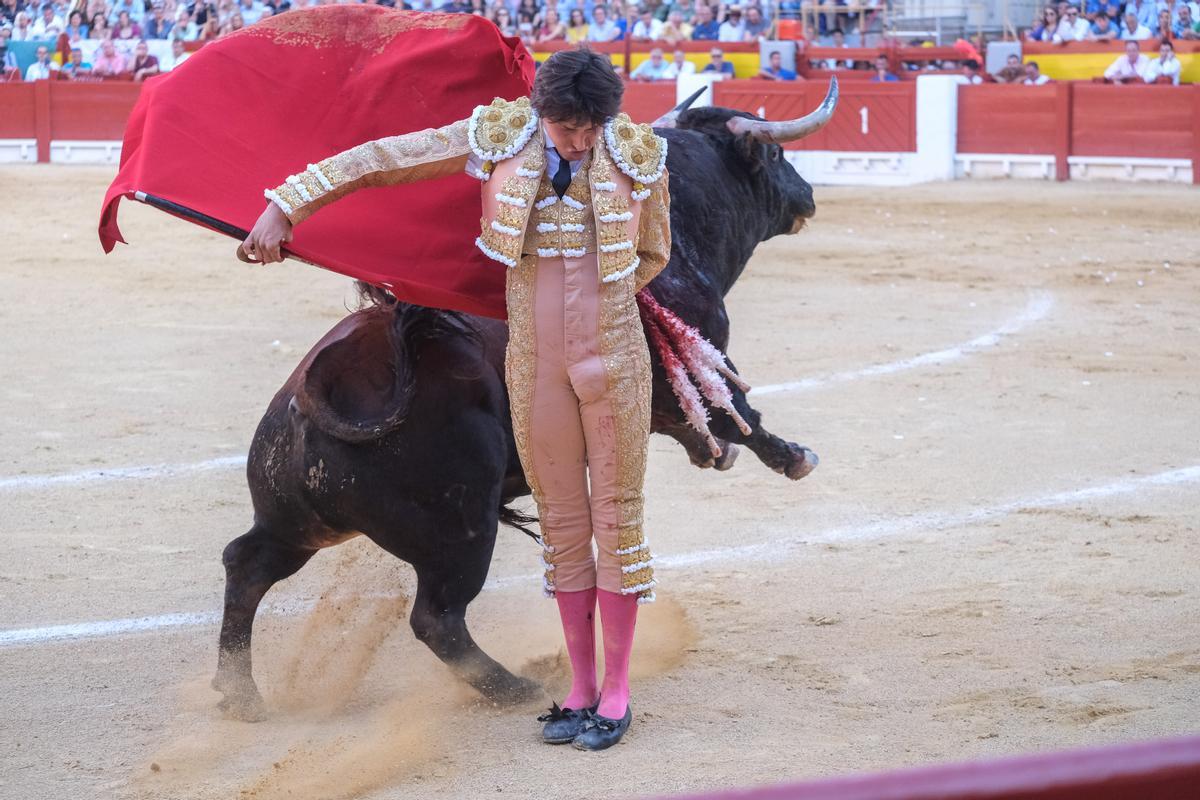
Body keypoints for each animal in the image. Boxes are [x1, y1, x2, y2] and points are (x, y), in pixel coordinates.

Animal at [213, 98, 835, 719]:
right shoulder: (696, 355)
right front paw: (791, 455)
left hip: (296, 522)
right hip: (461, 528)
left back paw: (239, 695)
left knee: (246, 564)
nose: (808, 195)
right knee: (436, 618)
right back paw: (515, 687)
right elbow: (736, 409)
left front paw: (716, 451)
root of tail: (317, 392)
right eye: (776, 156)